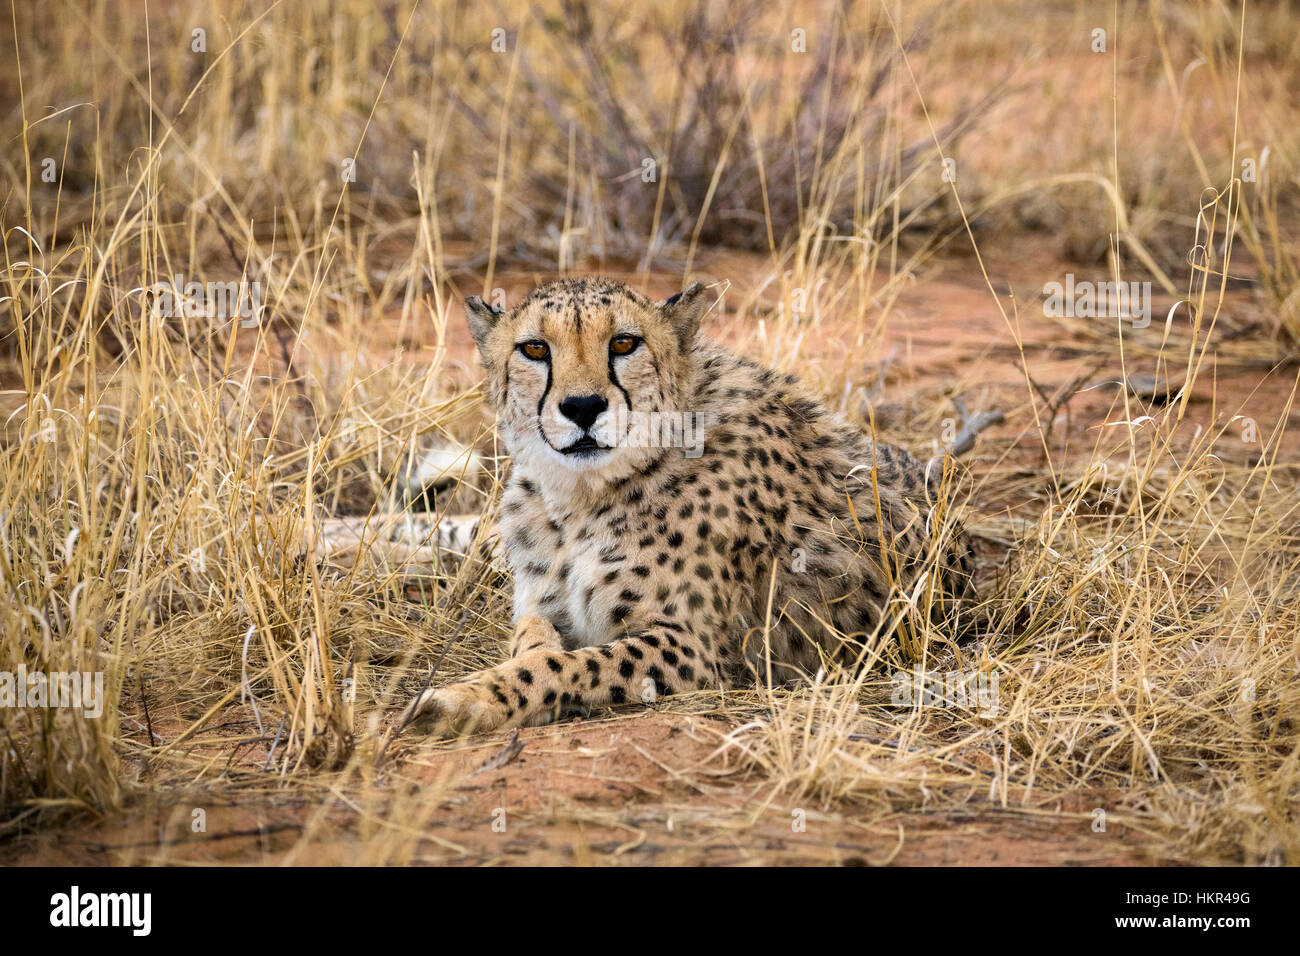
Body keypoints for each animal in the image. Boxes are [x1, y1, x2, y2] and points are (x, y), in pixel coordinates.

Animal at [405, 277, 977, 738]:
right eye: (534, 349)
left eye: (624, 343)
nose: (583, 407)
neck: (580, 497)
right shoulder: (541, 602)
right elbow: (533, 638)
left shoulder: (695, 649)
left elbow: (564, 666)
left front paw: (465, 699)